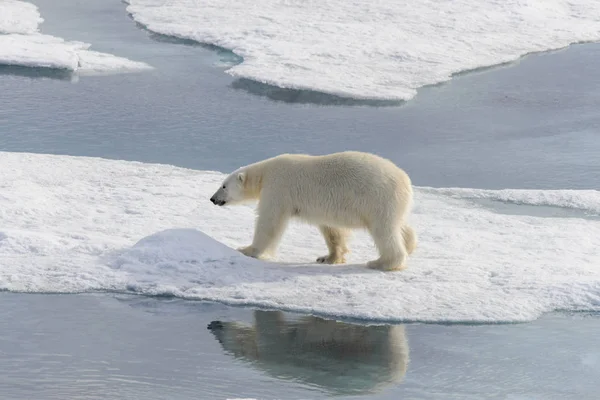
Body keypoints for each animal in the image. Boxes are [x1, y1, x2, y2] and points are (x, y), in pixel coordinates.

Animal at [209, 151, 414, 272]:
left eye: (224, 185)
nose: (212, 199)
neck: (265, 173)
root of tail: (405, 180)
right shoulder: (325, 207)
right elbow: (332, 230)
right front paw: (328, 258)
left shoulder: (278, 188)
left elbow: (270, 221)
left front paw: (247, 250)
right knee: (401, 226)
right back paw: (410, 244)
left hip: (378, 198)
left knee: (384, 230)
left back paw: (381, 262)